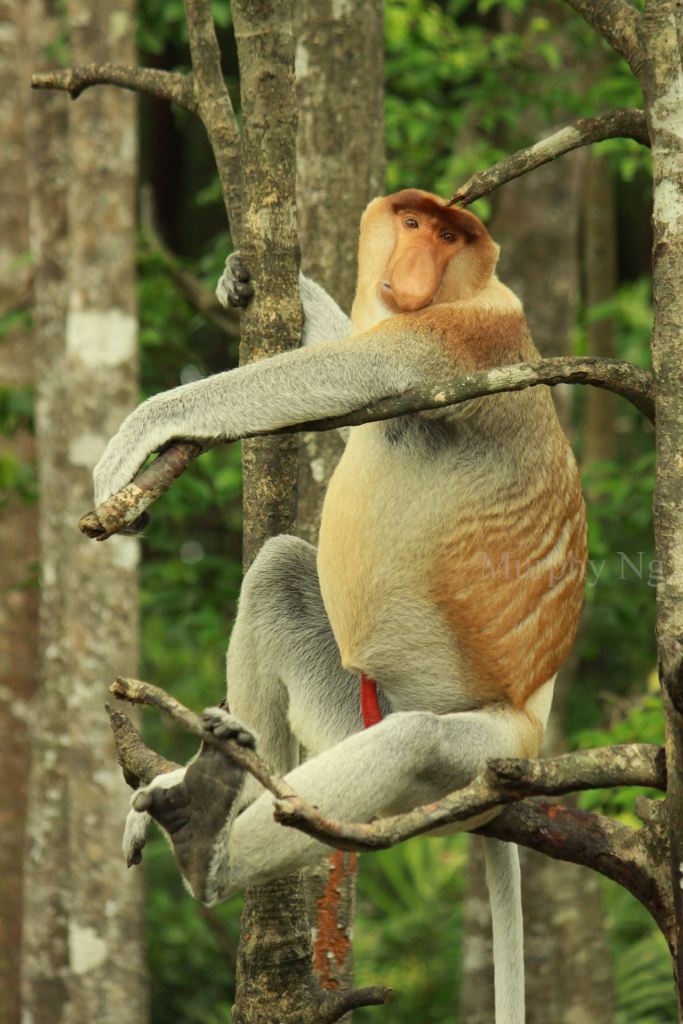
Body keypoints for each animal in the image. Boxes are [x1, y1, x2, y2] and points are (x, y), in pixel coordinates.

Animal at [97, 189, 587, 1024]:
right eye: (415, 224)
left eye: (451, 235)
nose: (413, 266)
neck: (464, 289)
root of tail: (530, 725)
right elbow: (344, 361)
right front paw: (244, 279)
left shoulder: (462, 337)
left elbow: (354, 371)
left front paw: (138, 433)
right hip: (352, 707)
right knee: (276, 571)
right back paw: (218, 775)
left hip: (482, 755)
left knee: (414, 743)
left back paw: (207, 853)